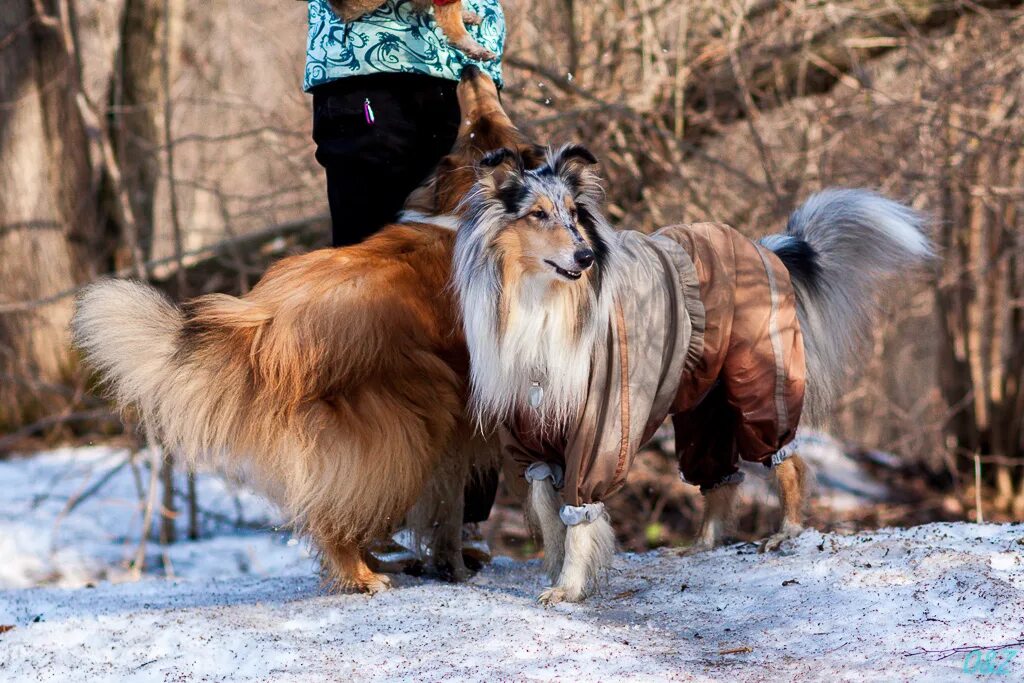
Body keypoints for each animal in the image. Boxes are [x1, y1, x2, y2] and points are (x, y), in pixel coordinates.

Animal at [72, 68, 536, 593]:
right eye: (486, 121)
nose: (471, 71)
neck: (459, 203)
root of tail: (268, 325)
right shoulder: (459, 417)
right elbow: (450, 509)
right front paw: (454, 566)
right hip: (402, 425)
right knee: (339, 515)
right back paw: (365, 574)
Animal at [452, 145, 933, 602]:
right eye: (537, 214)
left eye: (573, 213)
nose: (585, 256)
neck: (544, 299)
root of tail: (764, 246)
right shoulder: (530, 437)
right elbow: (549, 517)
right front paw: (555, 573)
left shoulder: (600, 428)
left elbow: (578, 520)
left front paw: (569, 587)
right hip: (705, 402)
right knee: (720, 476)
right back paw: (700, 544)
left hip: (759, 386)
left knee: (789, 461)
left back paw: (785, 533)